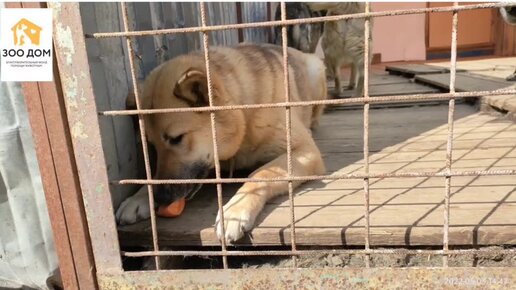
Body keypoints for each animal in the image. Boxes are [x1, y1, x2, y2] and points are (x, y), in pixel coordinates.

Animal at [117, 43, 326, 242]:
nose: (160, 197)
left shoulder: (304, 151)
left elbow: (261, 174)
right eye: (152, 145)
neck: (244, 116)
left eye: (176, 138)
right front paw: (139, 196)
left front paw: (234, 211)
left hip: (316, 72)